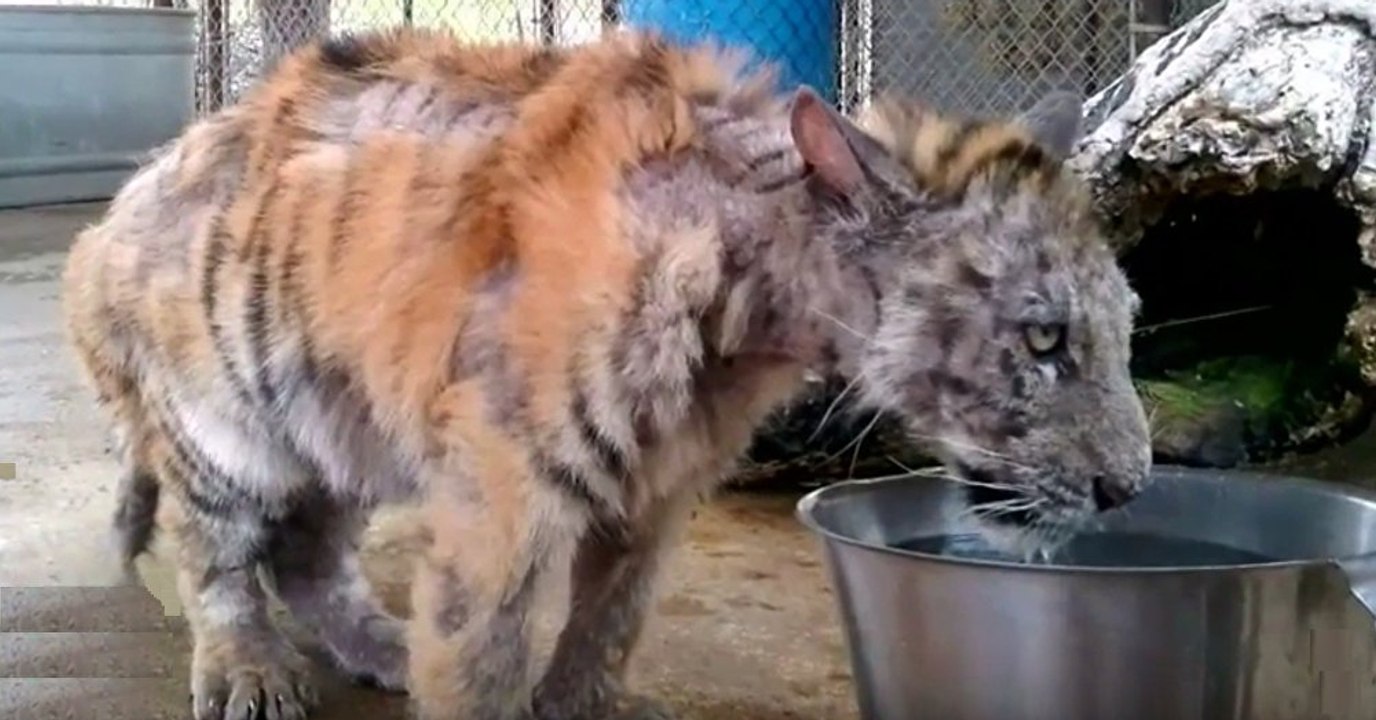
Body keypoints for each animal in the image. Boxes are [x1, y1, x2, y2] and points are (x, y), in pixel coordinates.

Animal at [61, 25, 1150, 720]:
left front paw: (580, 703)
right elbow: (482, 650)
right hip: (224, 419)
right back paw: (247, 675)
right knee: (214, 552)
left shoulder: (655, 487)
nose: (1127, 488)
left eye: (1123, 326)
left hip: (344, 423)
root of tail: (114, 214)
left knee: (304, 552)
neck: (750, 310)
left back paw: (378, 649)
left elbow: (608, 621)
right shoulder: (503, 485)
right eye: (1043, 339)